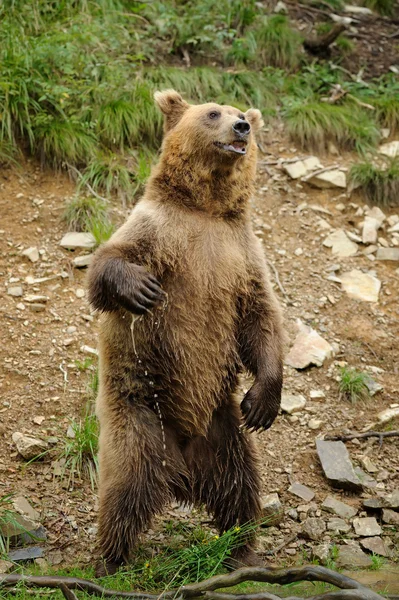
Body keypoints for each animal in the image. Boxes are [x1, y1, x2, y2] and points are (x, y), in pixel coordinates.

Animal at [87, 90, 284, 576]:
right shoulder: (160, 231)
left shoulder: (241, 253)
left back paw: (243, 549)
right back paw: (108, 561)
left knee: (240, 487)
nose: (241, 126)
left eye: (240, 113)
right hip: (140, 418)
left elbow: (262, 320)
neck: (206, 208)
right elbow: (106, 263)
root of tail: (183, 473)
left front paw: (263, 401)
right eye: (213, 112)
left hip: (223, 429)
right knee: (125, 489)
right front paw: (141, 288)